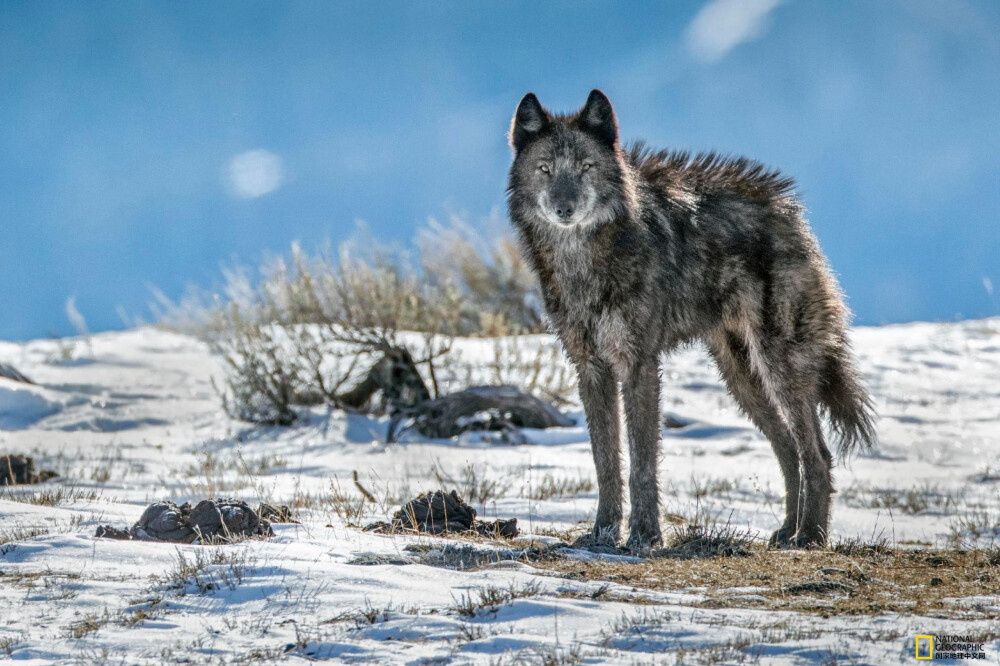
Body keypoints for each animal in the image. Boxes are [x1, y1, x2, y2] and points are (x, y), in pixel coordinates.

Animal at [508, 88, 876, 548]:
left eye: (585, 167)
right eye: (545, 169)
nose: (565, 208)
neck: (585, 262)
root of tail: (789, 211)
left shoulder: (639, 364)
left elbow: (643, 461)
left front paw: (645, 535)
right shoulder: (590, 368)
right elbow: (605, 461)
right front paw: (603, 533)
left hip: (780, 370)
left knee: (818, 455)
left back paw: (810, 536)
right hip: (741, 380)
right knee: (789, 450)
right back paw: (786, 530)